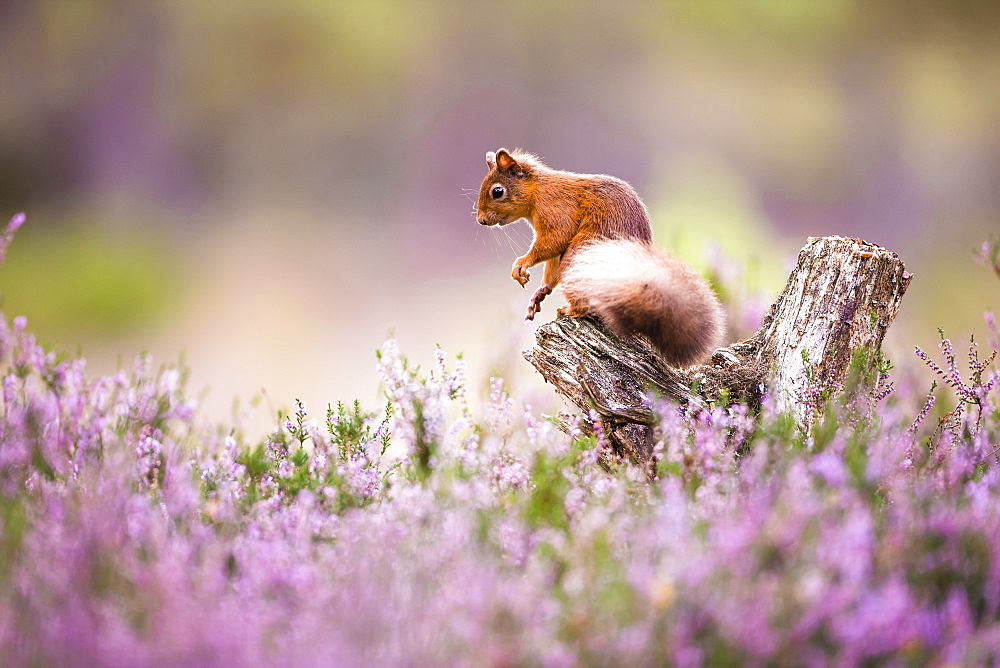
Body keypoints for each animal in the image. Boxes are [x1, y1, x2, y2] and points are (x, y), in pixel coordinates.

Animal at [478, 147, 724, 366]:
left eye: (497, 191)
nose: (481, 220)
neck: (538, 189)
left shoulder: (556, 208)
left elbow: (555, 240)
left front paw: (522, 263)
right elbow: (551, 266)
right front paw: (540, 293)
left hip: (579, 257)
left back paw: (572, 309)